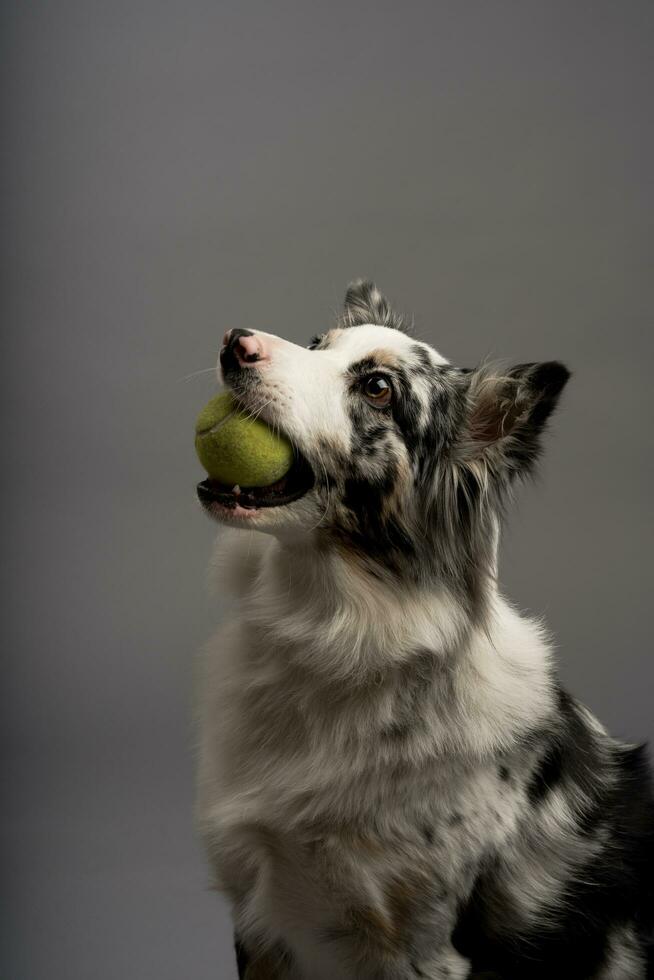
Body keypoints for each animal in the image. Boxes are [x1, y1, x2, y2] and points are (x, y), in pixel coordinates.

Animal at [195, 280, 654, 976]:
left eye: (379, 388)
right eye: (316, 344)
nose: (235, 341)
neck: (335, 635)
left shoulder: (422, 945)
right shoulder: (261, 920)